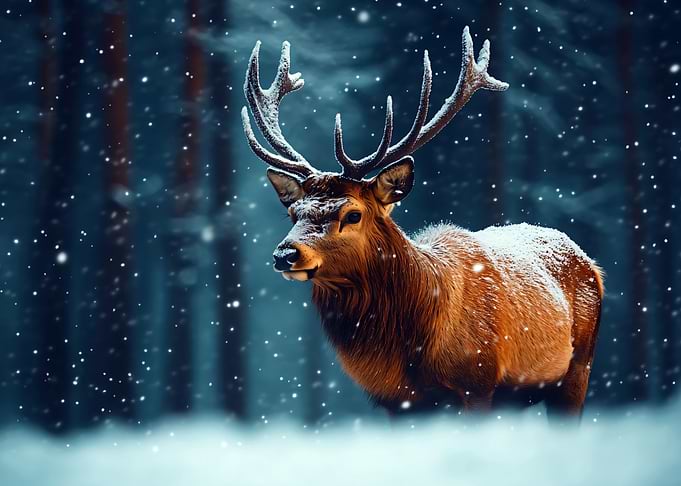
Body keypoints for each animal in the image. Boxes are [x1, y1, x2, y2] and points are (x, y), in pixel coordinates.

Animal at [241, 27, 603, 419]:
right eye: (294, 213)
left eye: (352, 214)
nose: (285, 254)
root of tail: (592, 263)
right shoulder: (394, 400)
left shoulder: (478, 381)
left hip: (577, 369)